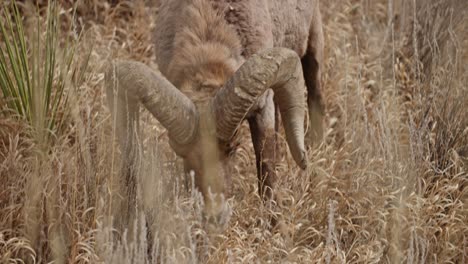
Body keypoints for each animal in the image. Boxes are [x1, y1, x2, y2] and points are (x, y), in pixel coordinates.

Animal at [106, 0, 326, 226]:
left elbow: (266, 166)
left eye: (233, 147)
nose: (213, 216)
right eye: (179, 152)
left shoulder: (262, 106)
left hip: (313, 39)